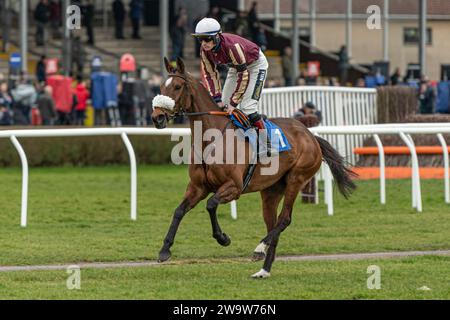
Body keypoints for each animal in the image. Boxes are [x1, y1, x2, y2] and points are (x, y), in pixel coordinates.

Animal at [153, 57, 356, 278]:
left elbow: (211, 205)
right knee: (273, 223)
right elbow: (179, 211)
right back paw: (263, 270)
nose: (157, 117)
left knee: (284, 219)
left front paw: (223, 238)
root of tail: (311, 136)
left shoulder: (233, 187)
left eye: (177, 86)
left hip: (297, 179)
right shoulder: (198, 187)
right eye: (161, 86)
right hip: (271, 191)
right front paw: (164, 250)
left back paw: (259, 248)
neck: (211, 138)